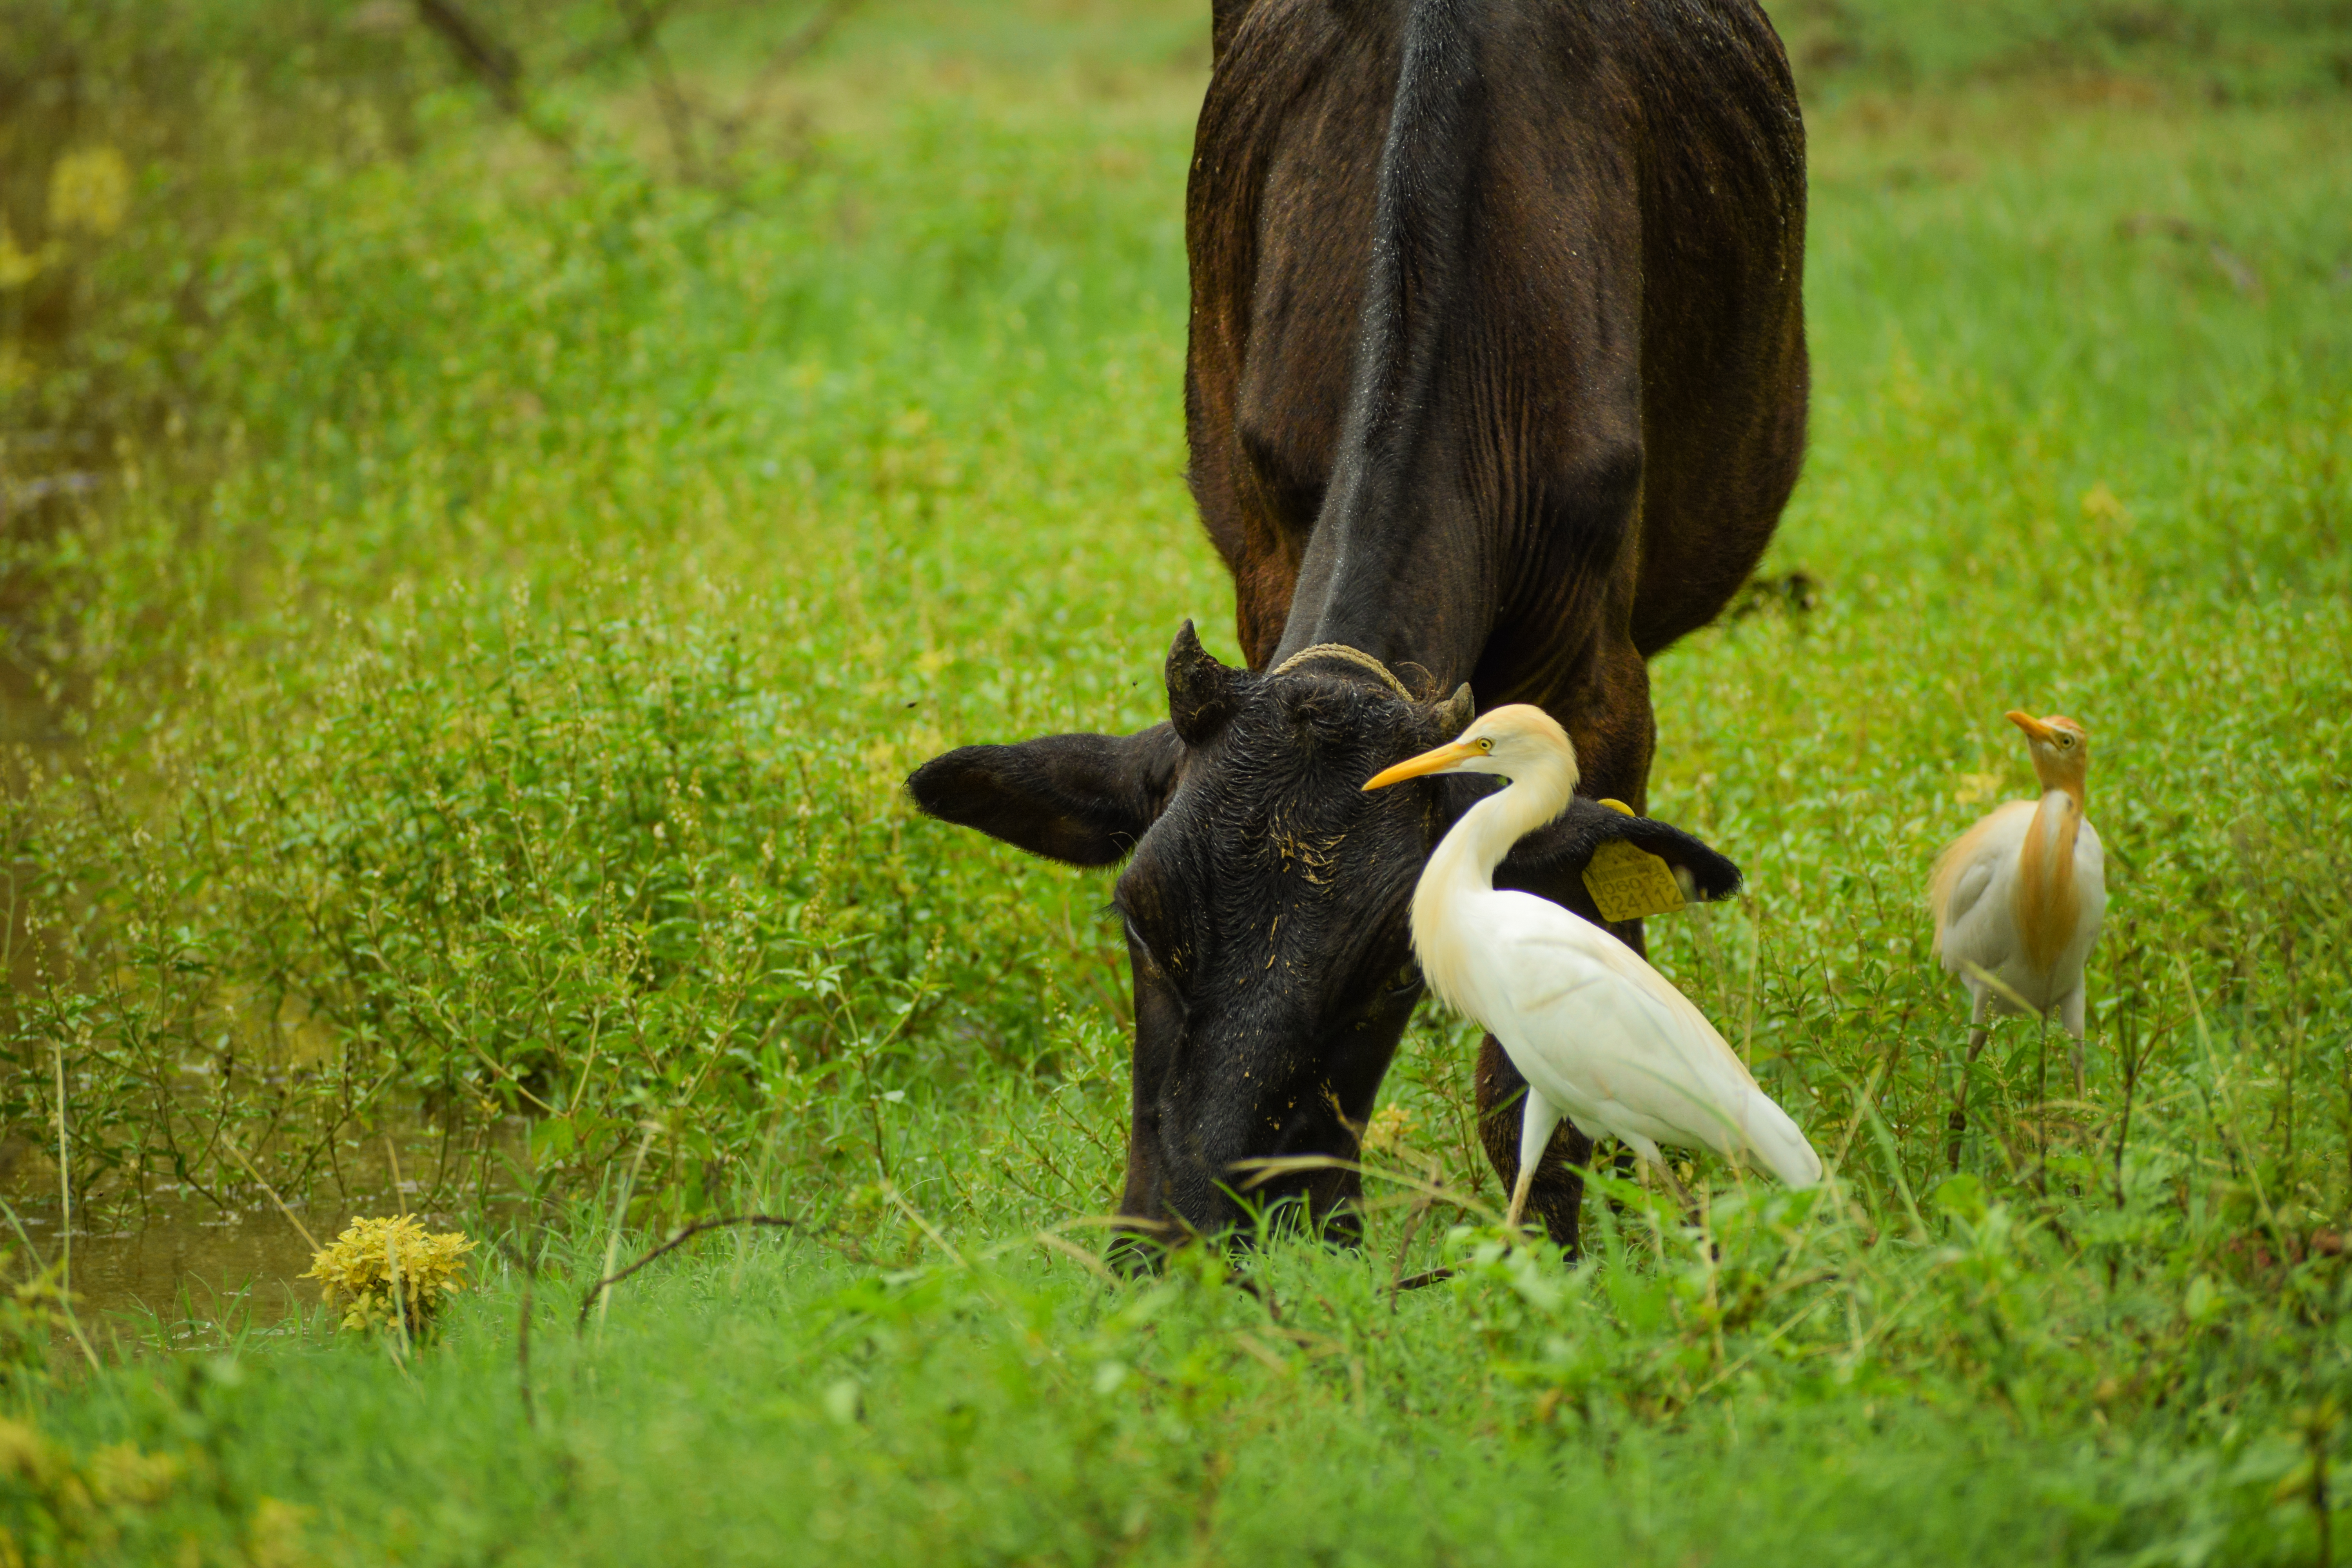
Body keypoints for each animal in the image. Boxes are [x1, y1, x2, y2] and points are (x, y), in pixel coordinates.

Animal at [909, 0, 1808, 1261]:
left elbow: (1538, 1074)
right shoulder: (1264, 569)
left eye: (1390, 972)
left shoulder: (1602, 690)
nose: (1193, 1235)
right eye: (1139, 919)